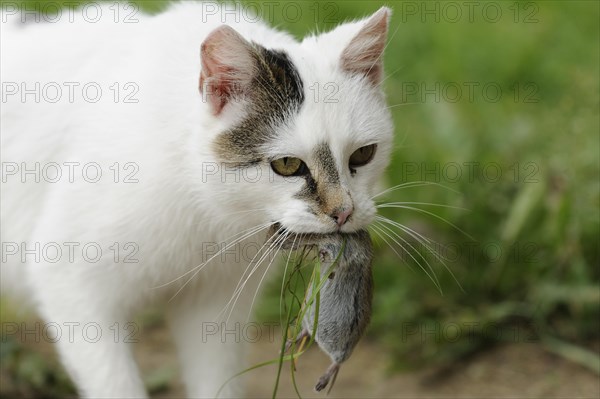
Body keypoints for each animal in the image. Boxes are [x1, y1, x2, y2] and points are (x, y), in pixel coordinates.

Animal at [1, 2, 394, 396]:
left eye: (363, 155)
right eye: (287, 165)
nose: (343, 212)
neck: (203, 204)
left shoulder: (215, 304)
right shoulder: (69, 279)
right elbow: (115, 382)